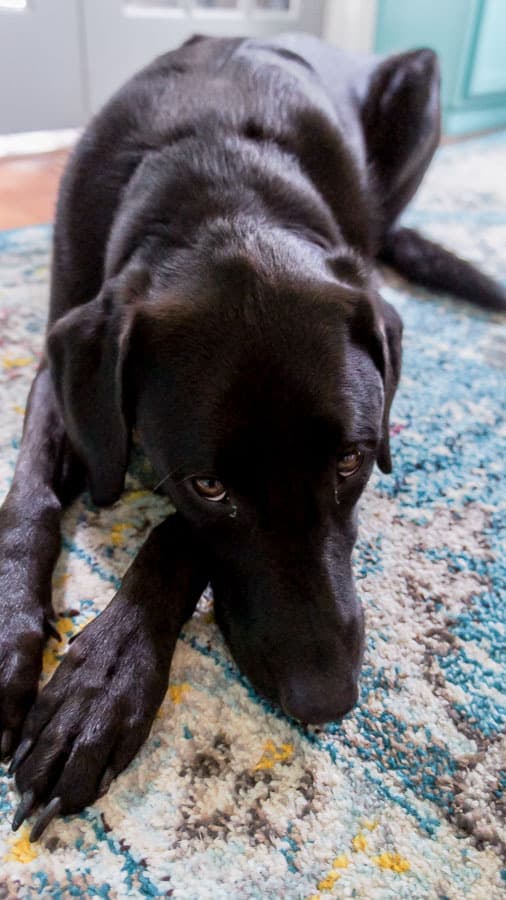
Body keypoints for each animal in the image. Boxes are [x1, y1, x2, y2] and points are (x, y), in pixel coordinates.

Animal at [0, 33, 504, 836]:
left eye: (353, 460)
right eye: (211, 485)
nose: (326, 700)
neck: (214, 177)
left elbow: (172, 534)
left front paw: (102, 683)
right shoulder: (62, 356)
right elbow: (28, 497)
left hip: (420, 82)